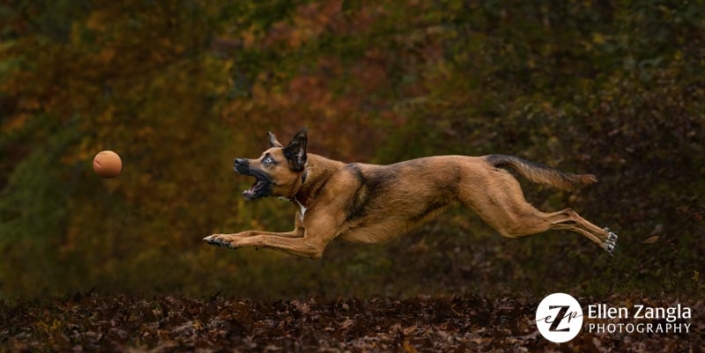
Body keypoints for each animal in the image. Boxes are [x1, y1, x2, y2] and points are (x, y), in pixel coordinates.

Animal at [204, 128, 616, 258]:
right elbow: (254, 232)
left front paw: (230, 241)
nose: (238, 161)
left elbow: (259, 236)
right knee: (563, 218)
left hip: (510, 219)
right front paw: (222, 237)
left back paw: (605, 238)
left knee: (566, 214)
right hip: (511, 217)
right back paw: (603, 241)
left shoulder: (312, 245)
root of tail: (486, 159)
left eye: (268, 159)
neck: (310, 180)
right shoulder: (299, 235)